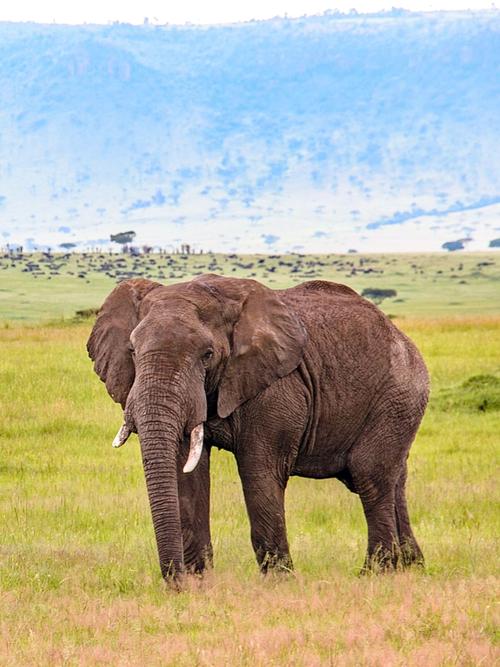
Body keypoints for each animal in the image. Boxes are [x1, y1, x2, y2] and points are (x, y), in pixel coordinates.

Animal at [87, 274, 429, 581]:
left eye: (207, 355)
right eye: (132, 351)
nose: (175, 581)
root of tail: (402, 337)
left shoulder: (276, 388)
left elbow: (260, 470)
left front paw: (279, 581)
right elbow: (187, 472)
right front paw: (199, 582)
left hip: (398, 396)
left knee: (368, 476)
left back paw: (375, 573)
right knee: (393, 479)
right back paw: (412, 568)